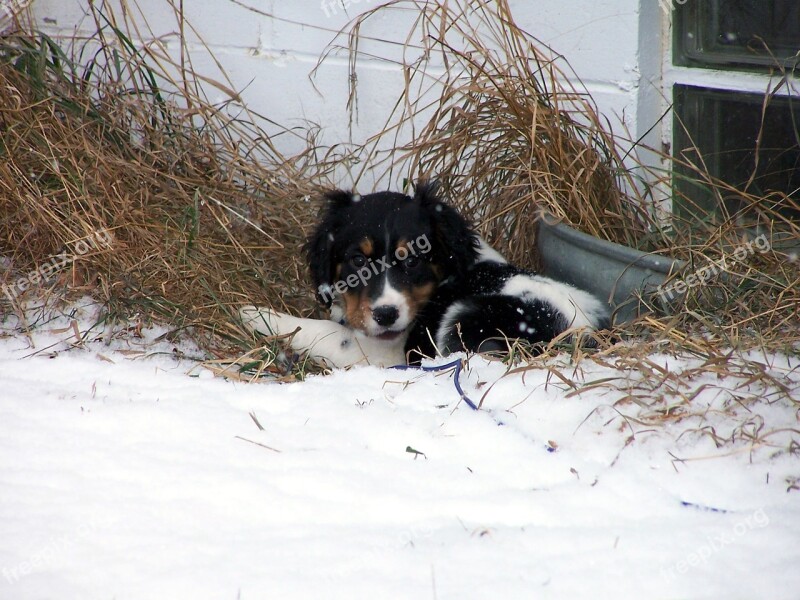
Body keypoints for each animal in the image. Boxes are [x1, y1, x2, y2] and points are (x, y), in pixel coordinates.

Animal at [241, 180, 608, 368]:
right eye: (358, 260)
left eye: (413, 261)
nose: (386, 315)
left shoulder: (379, 351)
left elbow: (321, 331)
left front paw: (256, 314)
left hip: (463, 317)